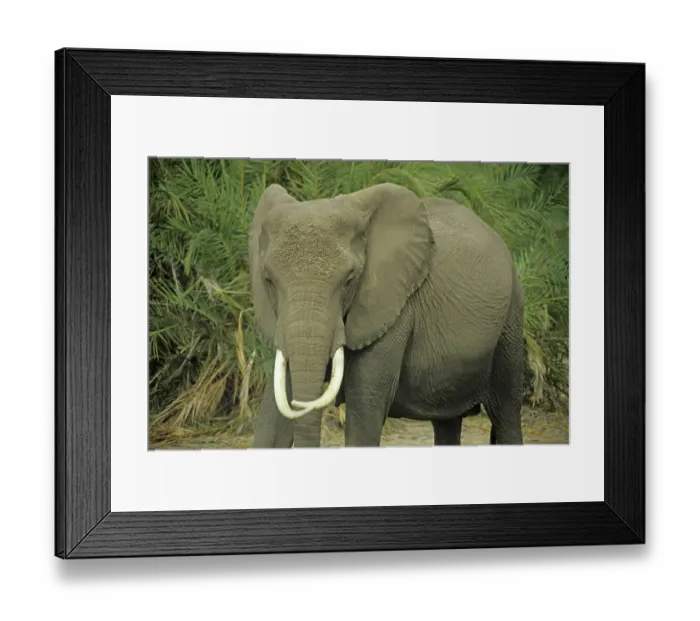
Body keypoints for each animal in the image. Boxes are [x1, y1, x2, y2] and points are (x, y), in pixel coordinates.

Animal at [248, 182, 524, 448]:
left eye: (349, 280)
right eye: (269, 280)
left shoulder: (394, 308)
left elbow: (364, 417)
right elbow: (273, 419)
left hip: (511, 319)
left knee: (506, 411)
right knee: (447, 422)